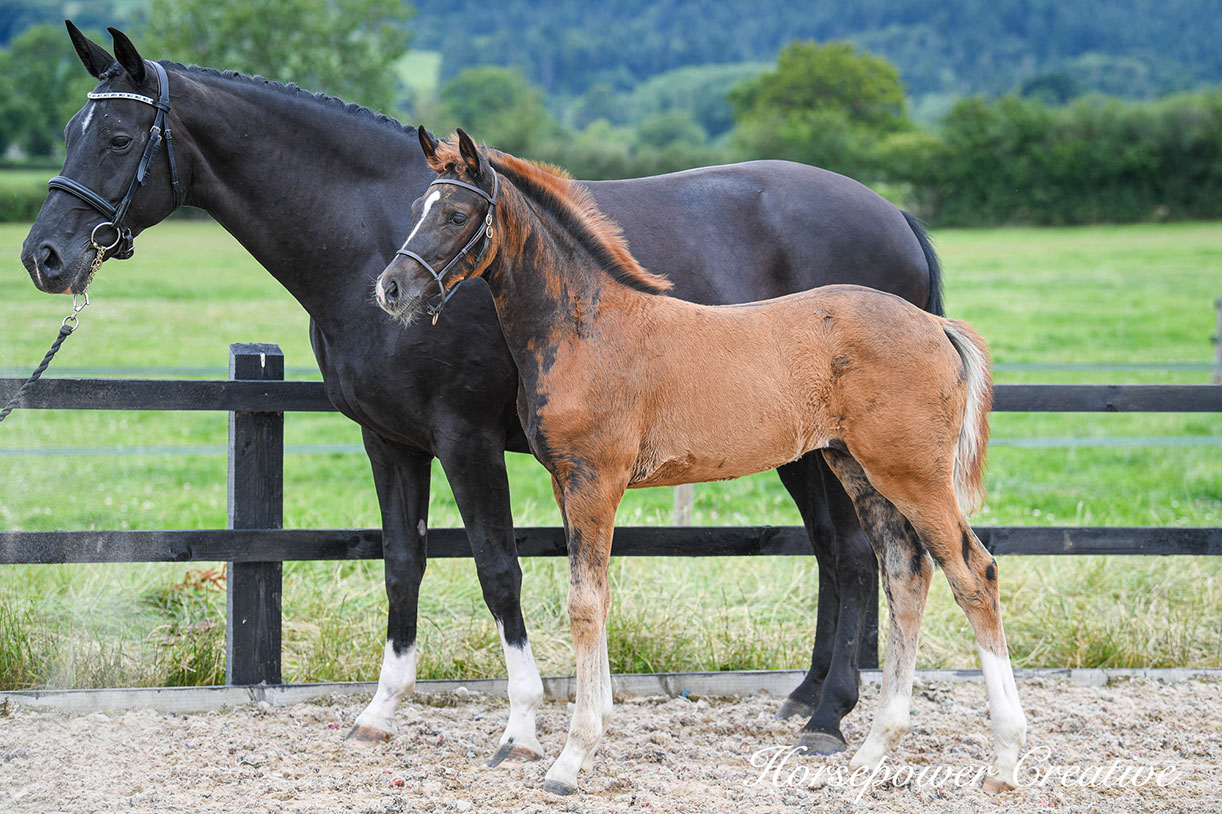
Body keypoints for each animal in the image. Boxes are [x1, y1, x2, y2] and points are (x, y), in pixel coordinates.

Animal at [19, 23, 938, 762]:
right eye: (67, 131)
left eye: (118, 136)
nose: (45, 256)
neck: (370, 236)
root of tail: (896, 215)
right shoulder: (389, 442)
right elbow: (402, 563)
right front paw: (379, 713)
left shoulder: (464, 439)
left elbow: (499, 570)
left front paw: (523, 726)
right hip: (804, 449)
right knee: (838, 555)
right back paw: (809, 700)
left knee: (856, 554)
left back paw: (830, 716)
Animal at [376, 130, 1026, 796]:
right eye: (417, 209)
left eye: (457, 215)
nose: (391, 289)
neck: (588, 326)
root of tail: (935, 325)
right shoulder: (567, 484)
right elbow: (596, 596)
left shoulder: (594, 482)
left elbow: (584, 605)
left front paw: (571, 758)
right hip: (859, 471)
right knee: (905, 573)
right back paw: (873, 749)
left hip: (913, 474)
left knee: (972, 573)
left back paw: (1003, 756)